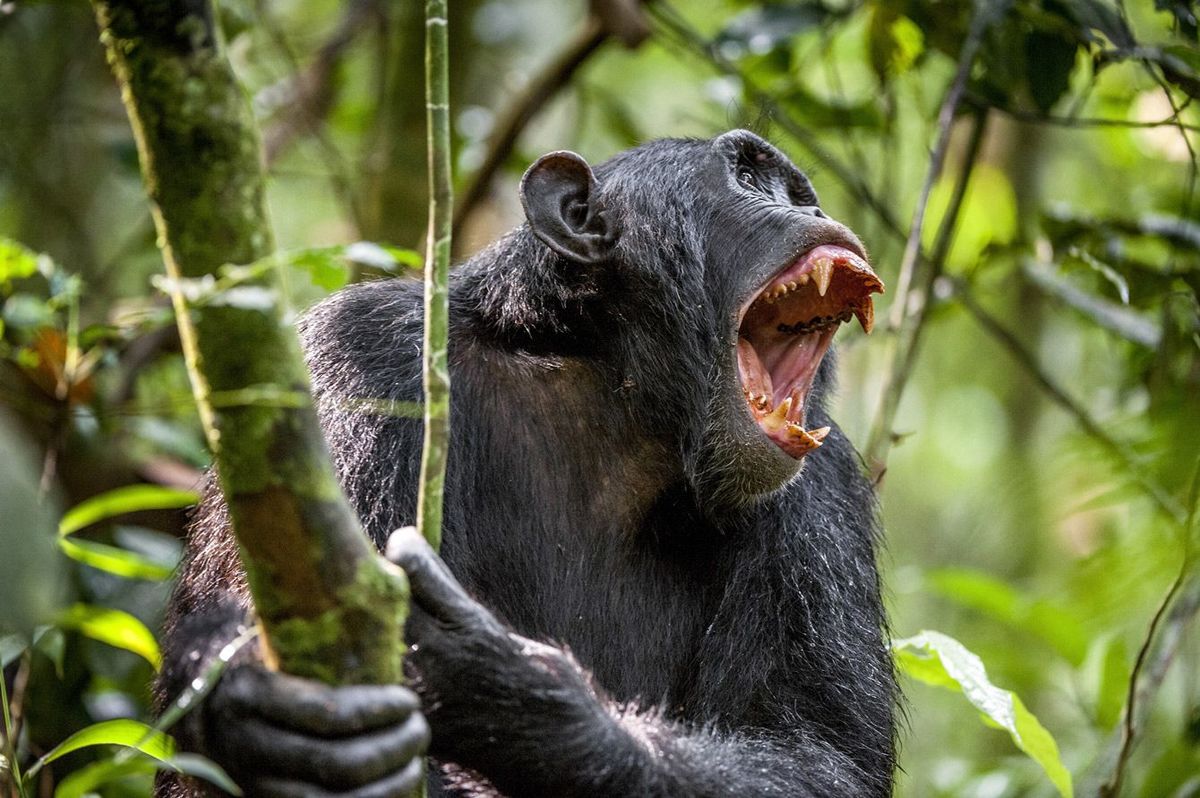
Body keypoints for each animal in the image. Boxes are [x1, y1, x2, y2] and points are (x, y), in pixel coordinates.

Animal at [157, 130, 892, 796]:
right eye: (748, 177)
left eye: (797, 193)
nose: (812, 210)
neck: (612, 388)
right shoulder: (354, 359)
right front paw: (247, 700)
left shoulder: (824, 492)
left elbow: (819, 756)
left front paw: (513, 685)